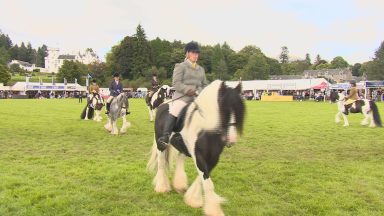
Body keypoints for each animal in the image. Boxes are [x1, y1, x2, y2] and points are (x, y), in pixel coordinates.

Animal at [148, 80, 246, 215]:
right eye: (224, 109)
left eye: (239, 110)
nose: (231, 140)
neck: (206, 128)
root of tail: (163, 104)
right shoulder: (199, 156)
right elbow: (207, 181)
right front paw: (214, 210)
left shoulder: (213, 157)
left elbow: (203, 178)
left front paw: (193, 199)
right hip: (161, 145)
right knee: (161, 163)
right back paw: (162, 187)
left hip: (182, 147)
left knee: (180, 159)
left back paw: (179, 185)